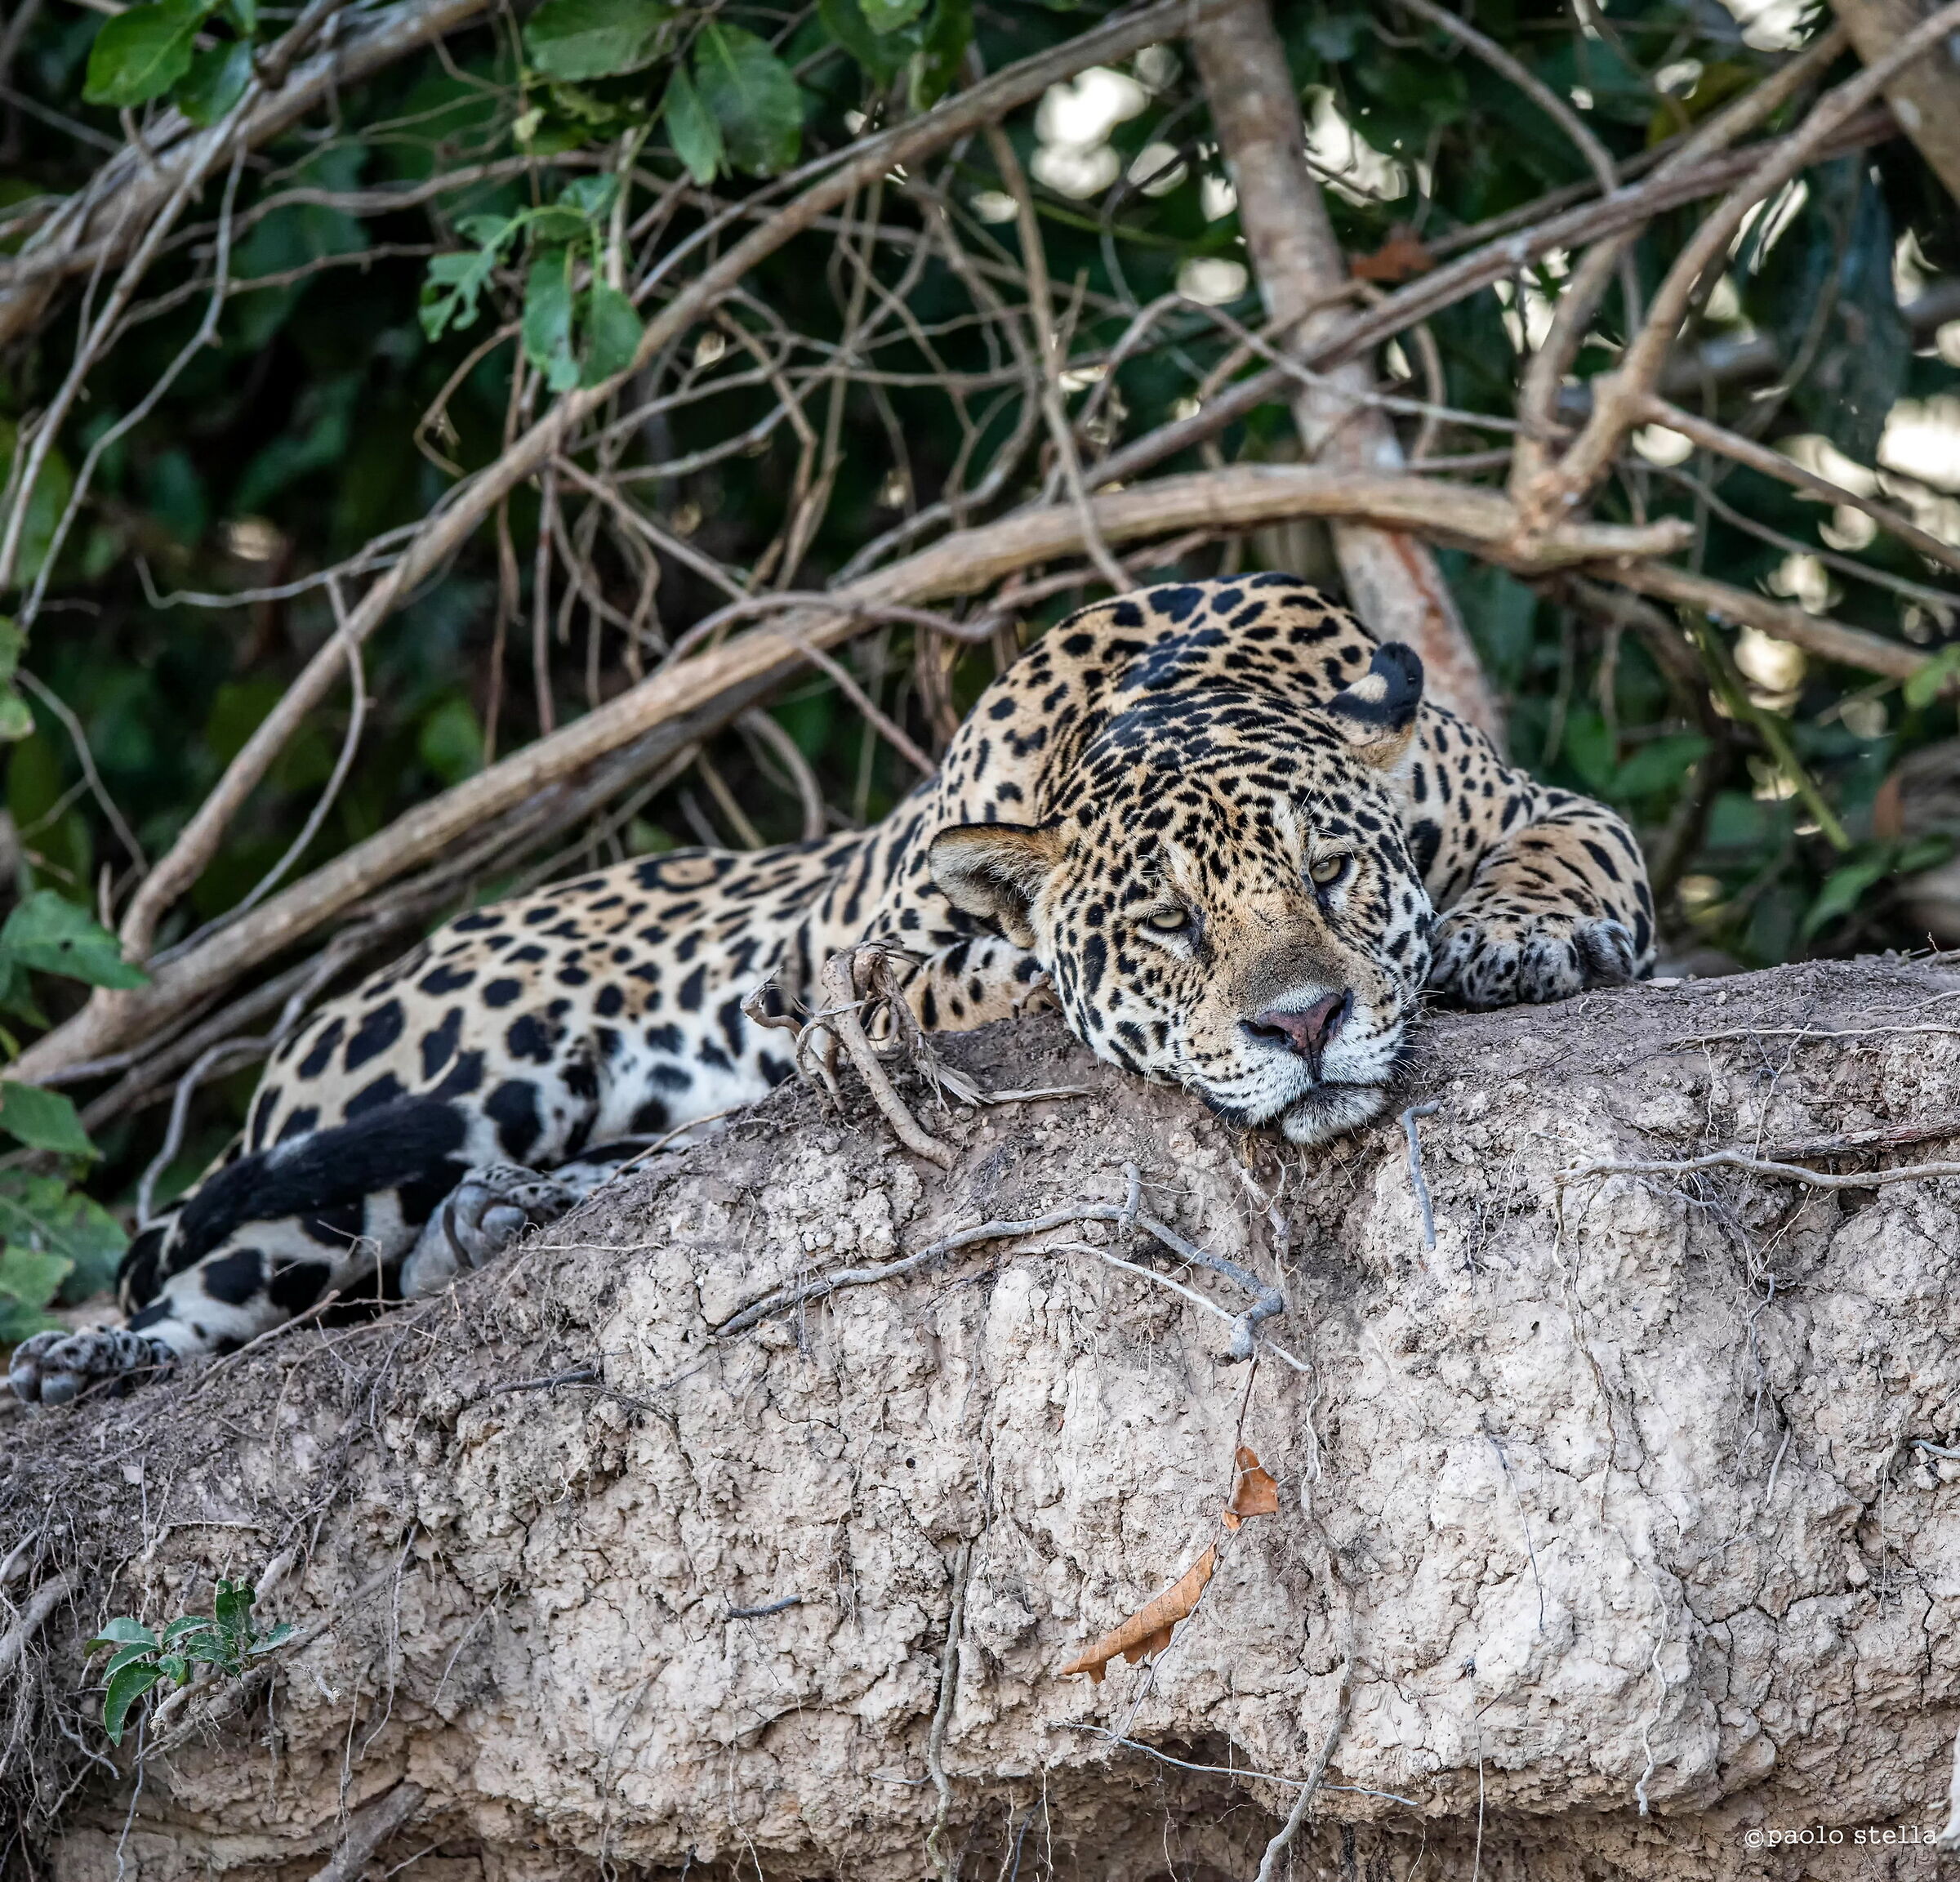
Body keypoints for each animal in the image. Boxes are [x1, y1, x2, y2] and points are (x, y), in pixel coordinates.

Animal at [10, 575, 1654, 1405]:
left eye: (1334, 872)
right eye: (1170, 927)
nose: (1305, 1024)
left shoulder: (1542, 803)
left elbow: (1577, 850)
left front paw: (1510, 940)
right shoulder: (887, 953)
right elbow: (950, 978)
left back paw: (499, 1222)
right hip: (448, 1070)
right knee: (218, 1280)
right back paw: (82, 1360)